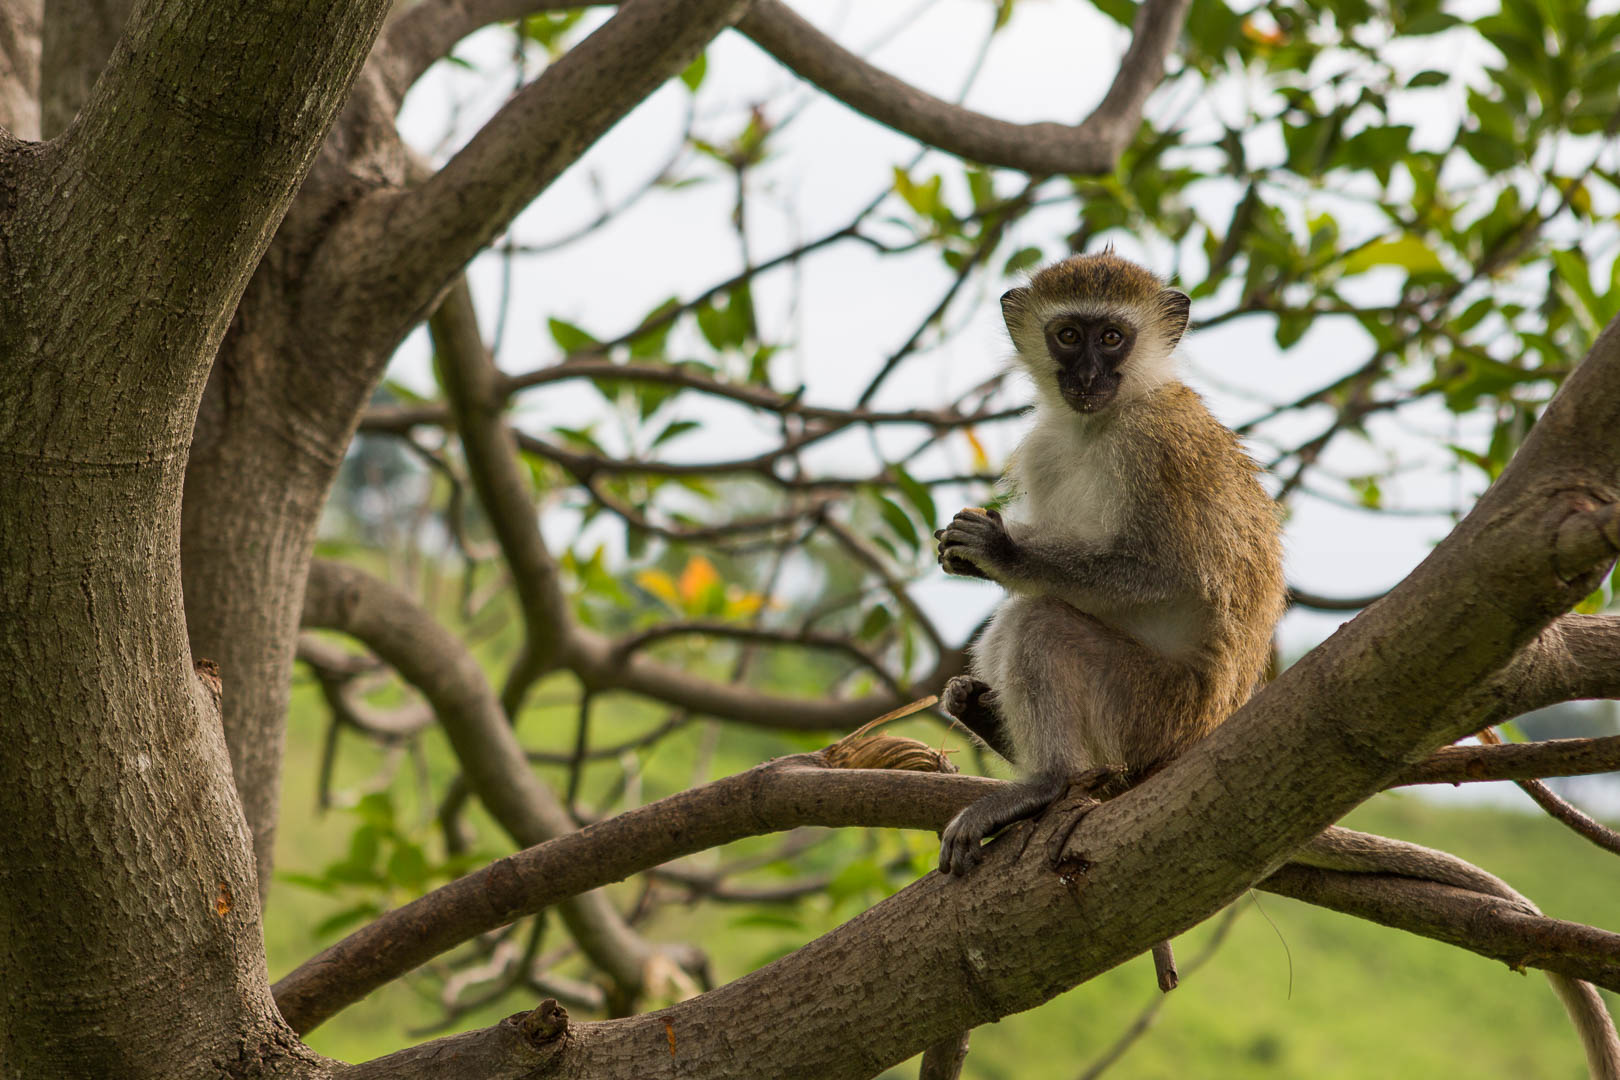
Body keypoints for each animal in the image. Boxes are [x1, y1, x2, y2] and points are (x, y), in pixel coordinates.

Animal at [931, 251, 1620, 1078]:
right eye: (1068, 334)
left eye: (1112, 336)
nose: (1089, 374)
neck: (1095, 424)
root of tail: (1199, 735)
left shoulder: (1158, 447)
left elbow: (1166, 572)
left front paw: (1002, 551)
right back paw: (987, 718)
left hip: (1149, 707)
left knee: (1039, 623)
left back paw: (1047, 782)